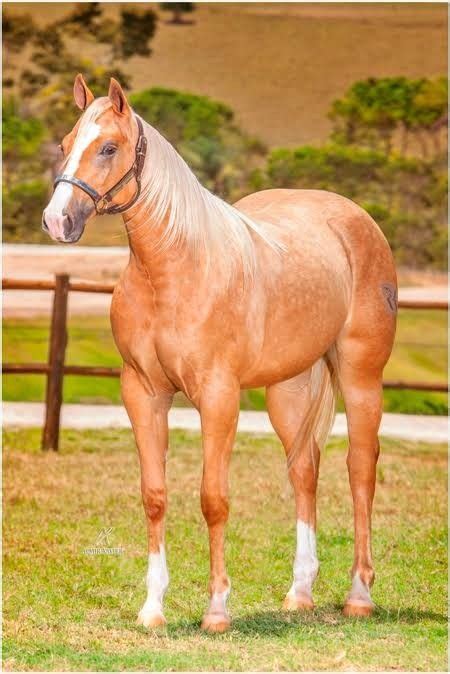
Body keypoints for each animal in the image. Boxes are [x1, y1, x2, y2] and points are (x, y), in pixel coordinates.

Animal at [42, 75, 397, 632]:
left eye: (108, 147)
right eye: (64, 145)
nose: (58, 221)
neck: (173, 270)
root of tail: (356, 220)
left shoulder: (218, 398)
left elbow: (213, 499)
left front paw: (217, 610)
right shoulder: (143, 393)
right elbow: (154, 496)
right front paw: (153, 608)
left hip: (362, 378)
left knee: (360, 470)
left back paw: (358, 595)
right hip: (288, 389)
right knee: (304, 471)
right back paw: (299, 593)